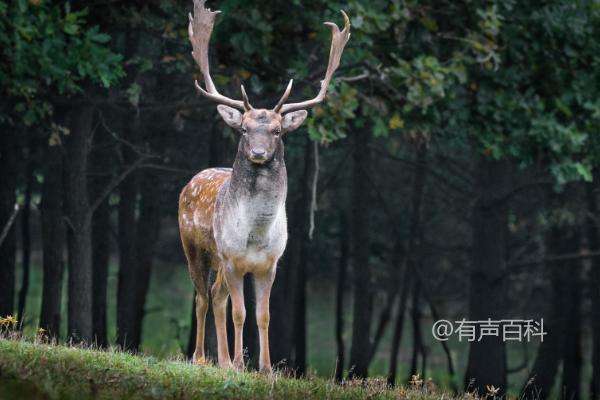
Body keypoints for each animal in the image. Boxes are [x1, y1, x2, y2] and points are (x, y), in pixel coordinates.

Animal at [178, 0, 350, 376]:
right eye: (243, 129)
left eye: (276, 131)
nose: (257, 153)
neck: (255, 235)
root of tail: (191, 181)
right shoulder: (233, 259)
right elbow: (240, 313)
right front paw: (241, 364)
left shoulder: (270, 264)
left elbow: (263, 315)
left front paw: (266, 368)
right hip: (194, 247)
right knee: (201, 296)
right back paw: (201, 357)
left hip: (220, 262)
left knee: (216, 296)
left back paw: (222, 360)